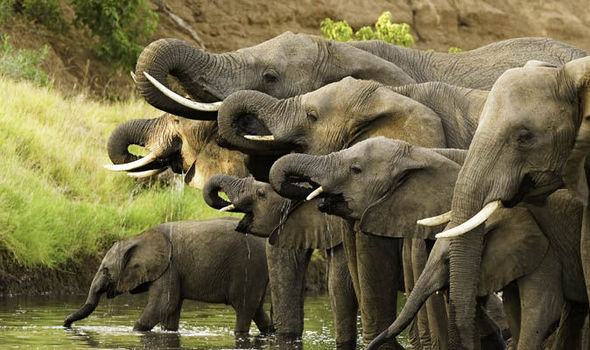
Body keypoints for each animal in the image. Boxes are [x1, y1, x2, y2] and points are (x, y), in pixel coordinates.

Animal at [63, 219, 272, 336]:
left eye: (106, 270)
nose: (66, 325)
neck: (138, 237)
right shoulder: (173, 270)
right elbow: (171, 309)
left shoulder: (169, 267)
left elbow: (163, 304)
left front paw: (134, 332)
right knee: (257, 310)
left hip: (248, 268)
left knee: (244, 309)